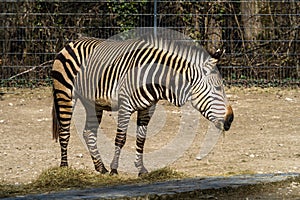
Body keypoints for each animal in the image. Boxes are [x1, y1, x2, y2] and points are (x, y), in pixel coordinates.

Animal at [51, 30, 234, 176]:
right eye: (218, 88)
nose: (230, 119)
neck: (154, 77)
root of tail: (72, 42)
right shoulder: (125, 106)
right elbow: (120, 139)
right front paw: (114, 169)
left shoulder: (148, 108)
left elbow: (141, 140)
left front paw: (141, 169)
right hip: (65, 94)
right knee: (65, 132)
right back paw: (65, 167)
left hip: (92, 103)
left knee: (89, 133)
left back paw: (100, 168)